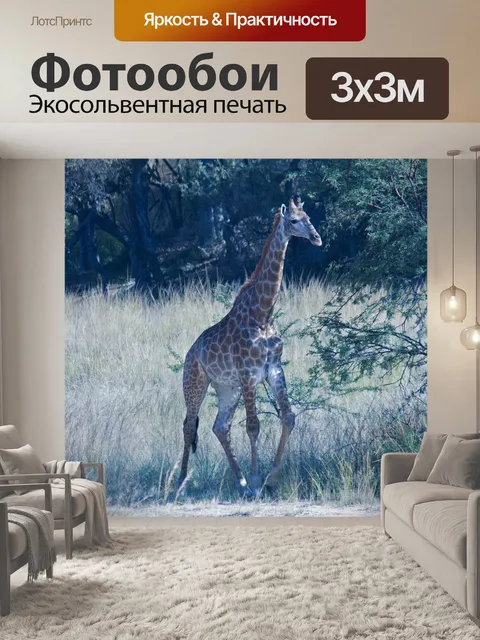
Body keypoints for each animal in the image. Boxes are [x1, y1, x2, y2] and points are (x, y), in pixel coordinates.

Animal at [178, 197, 322, 495]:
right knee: (188, 425)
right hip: (195, 382)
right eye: (294, 220)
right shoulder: (248, 374)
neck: (263, 314)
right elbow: (253, 426)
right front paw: (258, 480)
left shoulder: (274, 369)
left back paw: (240, 482)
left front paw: (270, 479)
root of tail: (189, 353)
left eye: (309, 217)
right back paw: (181, 482)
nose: (316, 238)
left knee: (220, 426)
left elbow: (288, 417)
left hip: (226, 388)